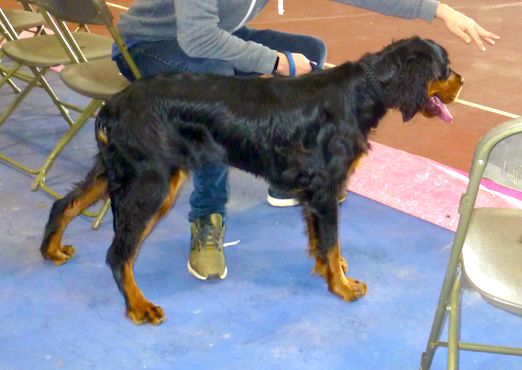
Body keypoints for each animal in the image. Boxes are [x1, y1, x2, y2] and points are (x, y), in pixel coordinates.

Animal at [39, 36, 460, 324]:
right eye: (445, 68)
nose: (462, 82)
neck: (362, 91)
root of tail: (114, 103)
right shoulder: (326, 190)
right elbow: (332, 243)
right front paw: (342, 285)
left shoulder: (315, 193)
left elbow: (322, 243)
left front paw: (329, 272)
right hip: (153, 181)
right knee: (119, 252)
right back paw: (139, 306)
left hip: (120, 167)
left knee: (65, 203)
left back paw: (52, 250)